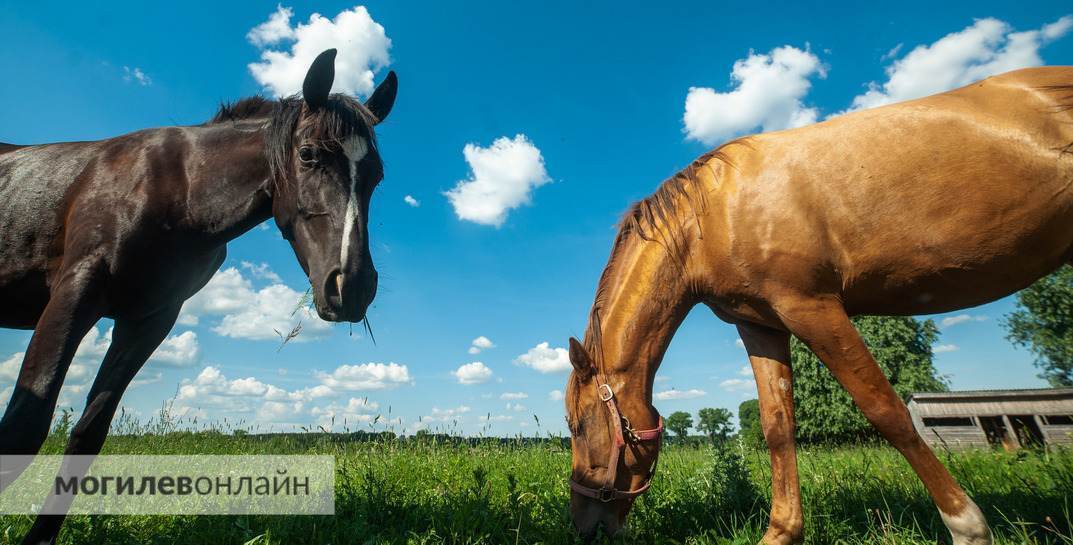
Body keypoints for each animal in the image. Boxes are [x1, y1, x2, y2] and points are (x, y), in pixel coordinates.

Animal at [0, 49, 397, 544]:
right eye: (308, 155)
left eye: (377, 176)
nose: (353, 286)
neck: (177, 190)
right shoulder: (75, 292)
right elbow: (23, 427)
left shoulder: (150, 320)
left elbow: (89, 433)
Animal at [564, 66, 1073, 544]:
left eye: (578, 425)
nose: (583, 525)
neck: (710, 215)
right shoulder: (762, 326)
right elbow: (777, 426)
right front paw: (781, 531)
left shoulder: (811, 307)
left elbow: (886, 410)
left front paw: (966, 526)